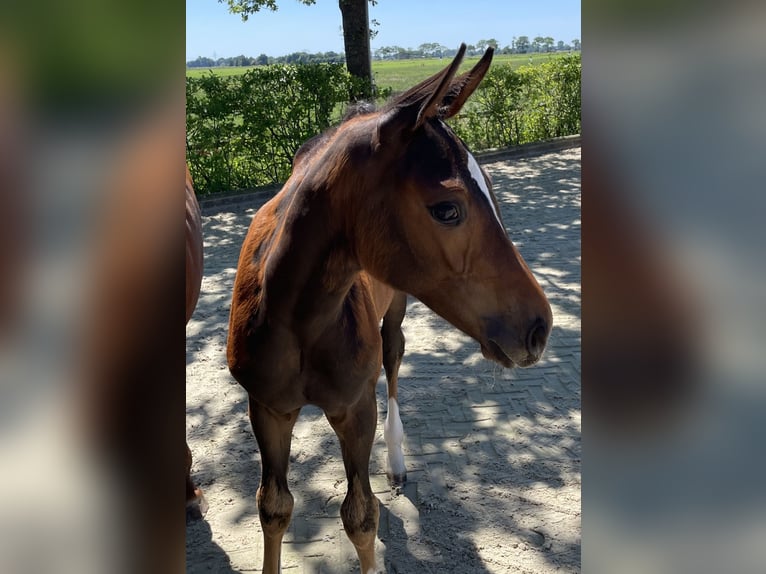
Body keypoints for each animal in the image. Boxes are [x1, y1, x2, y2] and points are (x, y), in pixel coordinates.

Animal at [227, 44, 552, 573]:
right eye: (447, 209)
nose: (540, 327)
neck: (297, 319)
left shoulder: (353, 409)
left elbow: (361, 516)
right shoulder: (268, 408)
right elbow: (274, 508)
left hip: (396, 310)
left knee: (393, 359)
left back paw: (396, 461)